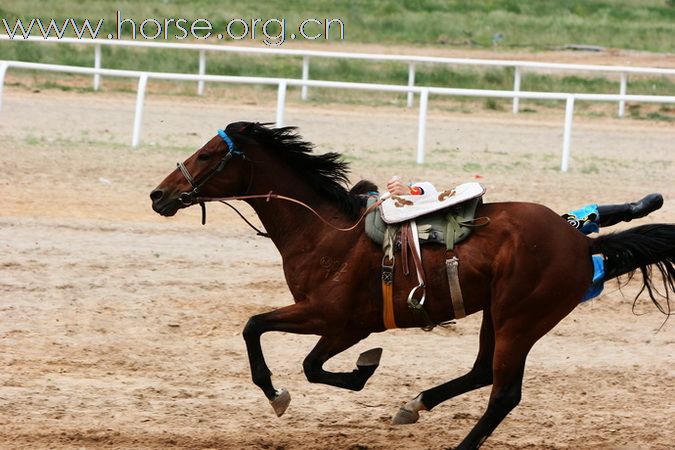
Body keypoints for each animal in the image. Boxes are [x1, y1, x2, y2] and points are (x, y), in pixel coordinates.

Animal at [149, 121, 675, 448]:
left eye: (209, 154)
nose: (158, 194)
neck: (323, 230)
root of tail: (583, 247)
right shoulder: (335, 323)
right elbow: (294, 354)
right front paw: (360, 374)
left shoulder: (335, 319)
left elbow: (269, 337)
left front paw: (287, 392)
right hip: (497, 314)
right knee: (482, 373)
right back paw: (414, 404)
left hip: (521, 319)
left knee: (503, 394)